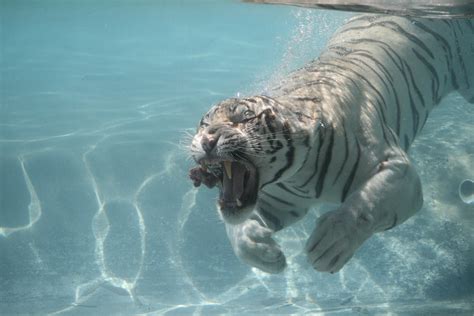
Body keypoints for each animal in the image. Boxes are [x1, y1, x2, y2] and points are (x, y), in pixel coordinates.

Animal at [188, 13, 470, 272]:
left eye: (243, 116)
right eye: (204, 122)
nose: (207, 139)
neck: (300, 176)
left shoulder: (400, 173)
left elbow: (368, 202)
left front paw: (331, 243)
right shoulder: (280, 202)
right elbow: (238, 230)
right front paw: (263, 252)